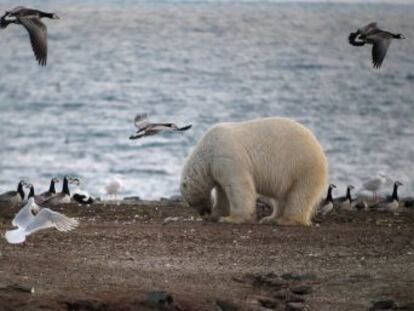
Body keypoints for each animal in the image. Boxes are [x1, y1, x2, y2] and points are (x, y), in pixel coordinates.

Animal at [180, 117, 328, 227]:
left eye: (191, 203)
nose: (203, 213)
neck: (207, 151)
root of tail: (319, 149)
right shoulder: (218, 167)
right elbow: (223, 192)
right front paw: (216, 215)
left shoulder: (227, 156)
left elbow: (238, 186)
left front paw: (231, 218)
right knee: (281, 197)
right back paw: (270, 218)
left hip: (302, 167)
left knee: (300, 195)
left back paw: (286, 220)